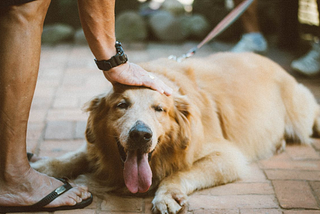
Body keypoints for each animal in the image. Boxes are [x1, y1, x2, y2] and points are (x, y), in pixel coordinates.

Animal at [31, 52, 320, 214]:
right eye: (121, 105)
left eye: (160, 109)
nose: (140, 135)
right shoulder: (98, 148)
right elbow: (74, 156)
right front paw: (43, 168)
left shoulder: (228, 157)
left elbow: (181, 172)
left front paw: (168, 194)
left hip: (302, 115)